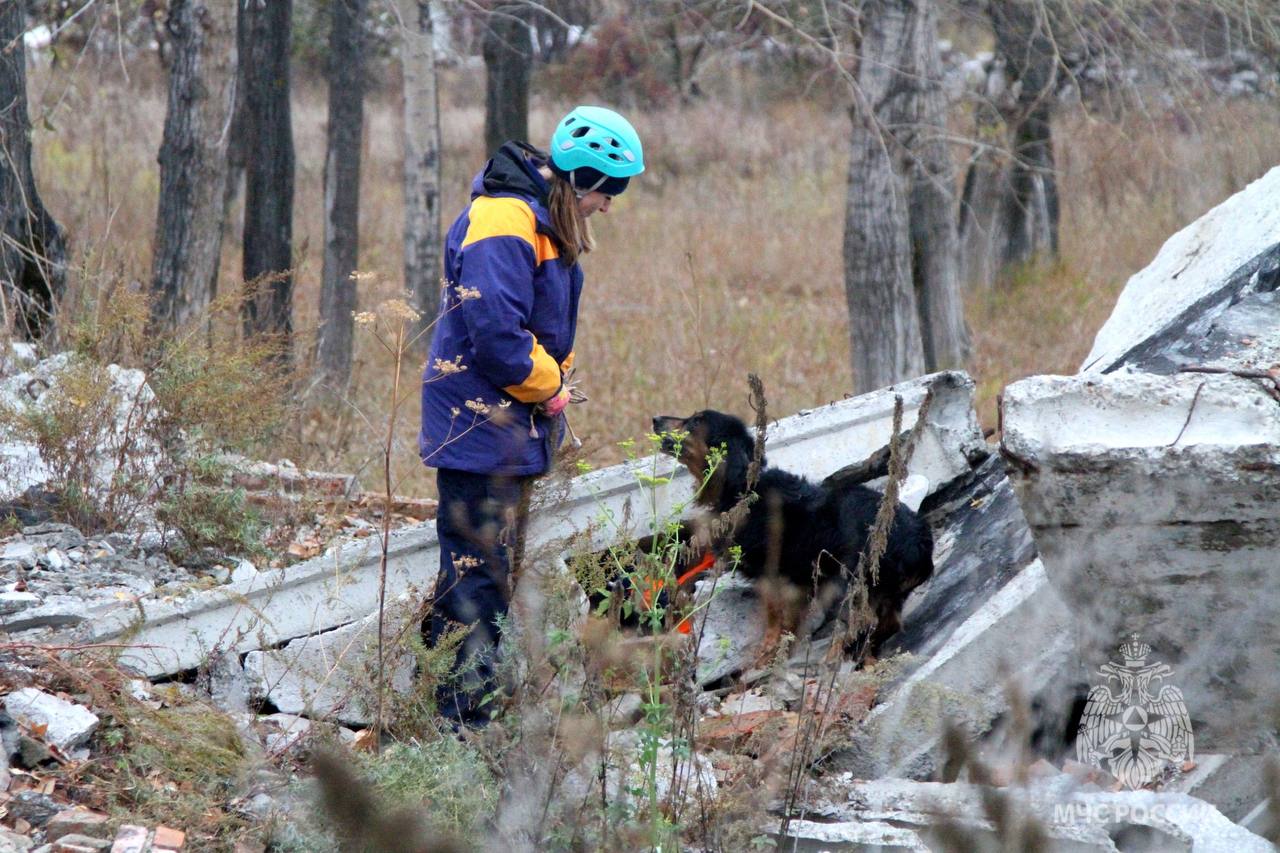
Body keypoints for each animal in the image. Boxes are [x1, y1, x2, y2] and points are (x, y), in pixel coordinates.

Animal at [655, 409, 936, 660]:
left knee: (865, 623)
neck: (745, 487)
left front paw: (768, 649)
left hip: (858, 585)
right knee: (888, 624)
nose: (655, 419)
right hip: (888, 594)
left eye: (695, 421)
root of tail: (919, 541)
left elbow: (774, 615)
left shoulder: (772, 574)